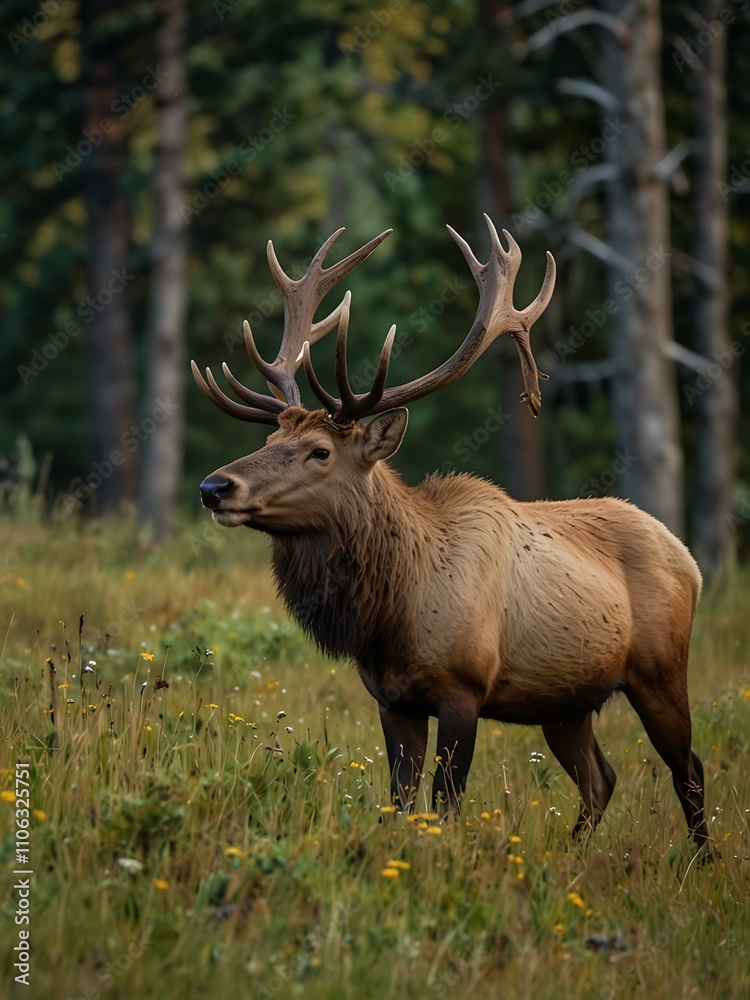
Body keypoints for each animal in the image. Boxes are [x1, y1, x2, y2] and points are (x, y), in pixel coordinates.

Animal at [192, 216, 709, 849]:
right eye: (269, 440)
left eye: (319, 451)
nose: (214, 486)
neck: (394, 612)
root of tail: (687, 556)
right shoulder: (393, 699)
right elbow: (400, 801)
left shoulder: (465, 688)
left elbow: (445, 803)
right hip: (564, 700)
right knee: (600, 778)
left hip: (660, 671)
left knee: (688, 769)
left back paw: (701, 861)